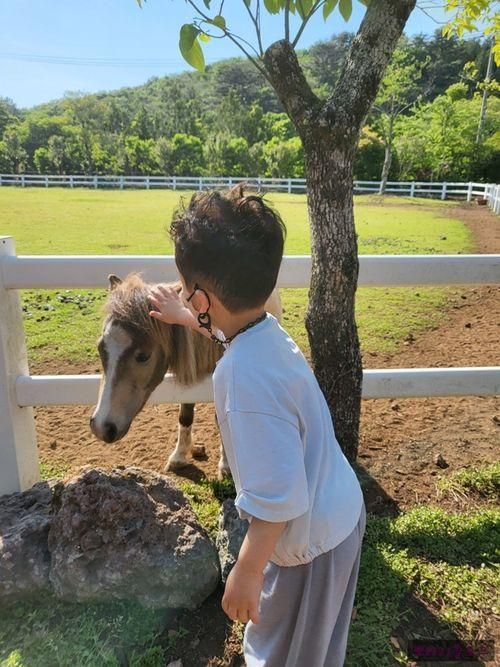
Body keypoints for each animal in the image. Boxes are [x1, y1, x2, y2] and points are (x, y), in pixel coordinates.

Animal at [90, 274, 282, 478]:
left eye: (144, 356)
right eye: (101, 348)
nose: (101, 427)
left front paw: (226, 465)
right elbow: (185, 416)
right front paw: (179, 456)